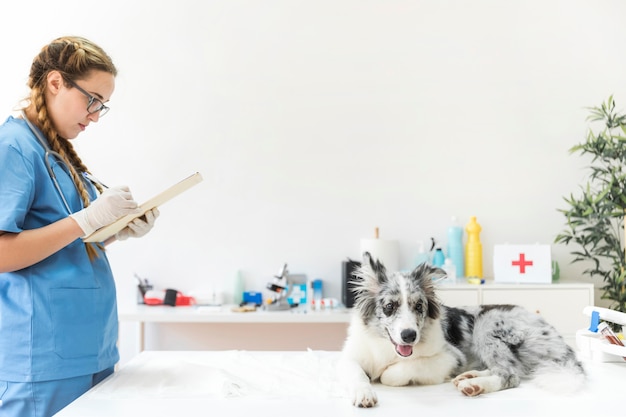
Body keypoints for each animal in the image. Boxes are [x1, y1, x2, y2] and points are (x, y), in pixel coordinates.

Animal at [336, 254, 584, 406]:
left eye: (419, 306)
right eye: (389, 307)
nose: (409, 336)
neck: (387, 348)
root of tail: (554, 334)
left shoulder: (450, 357)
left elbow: (395, 373)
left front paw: (386, 373)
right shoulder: (349, 357)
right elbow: (357, 374)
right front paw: (364, 395)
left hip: (487, 325)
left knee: (510, 374)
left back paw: (474, 385)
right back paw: (470, 375)